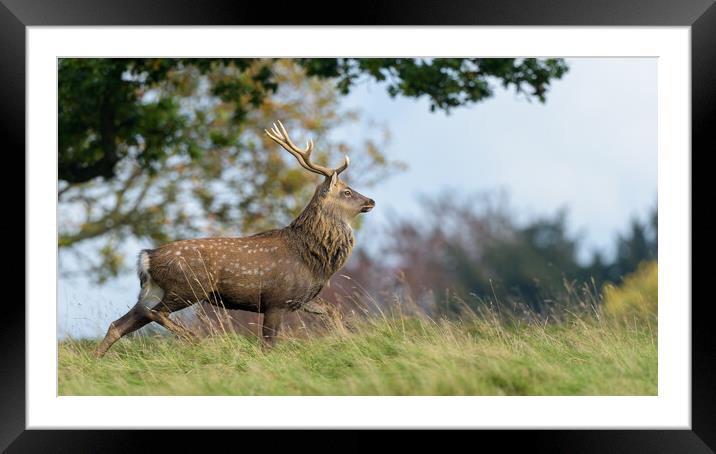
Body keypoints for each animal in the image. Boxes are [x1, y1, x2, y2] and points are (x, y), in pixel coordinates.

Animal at [95, 121, 374, 358]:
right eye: (347, 191)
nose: (371, 200)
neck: (312, 258)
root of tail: (146, 257)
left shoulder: (298, 298)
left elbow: (332, 311)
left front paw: (347, 340)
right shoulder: (275, 300)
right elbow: (268, 346)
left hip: (155, 290)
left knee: (120, 324)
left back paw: (94, 362)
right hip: (188, 286)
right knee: (154, 313)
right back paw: (196, 338)